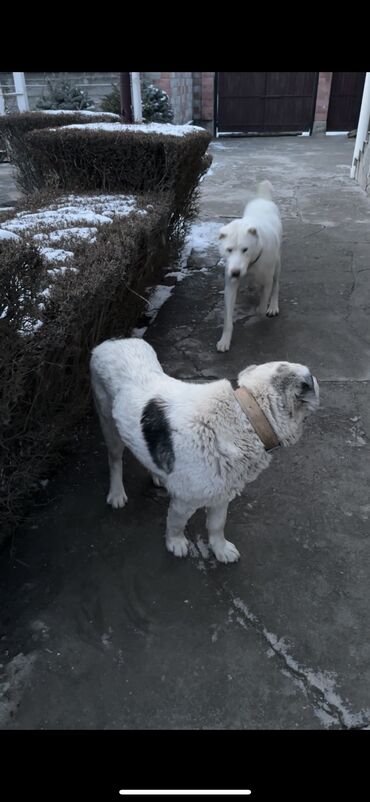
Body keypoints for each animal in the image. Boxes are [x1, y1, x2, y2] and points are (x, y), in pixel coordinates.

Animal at [89, 338, 318, 564]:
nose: (316, 379)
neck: (247, 416)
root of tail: (113, 341)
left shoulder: (223, 490)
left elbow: (217, 525)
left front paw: (221, 549)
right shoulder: (185, 500)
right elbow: (176, 523)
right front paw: (175, 543)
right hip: (109, 424)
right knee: (114, 460)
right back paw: (117, 493)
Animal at [215, 181, 282, 350]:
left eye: (245, 249)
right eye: (229, 250)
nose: (235, 272)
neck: (250, 264)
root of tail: (263, 199)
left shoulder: (267, 280)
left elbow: (262, 306)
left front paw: (262, 310)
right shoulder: (230, 284)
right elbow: (227, 318)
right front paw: (225, 340)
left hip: (278, 263)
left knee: (276, 284)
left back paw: (273, 306)